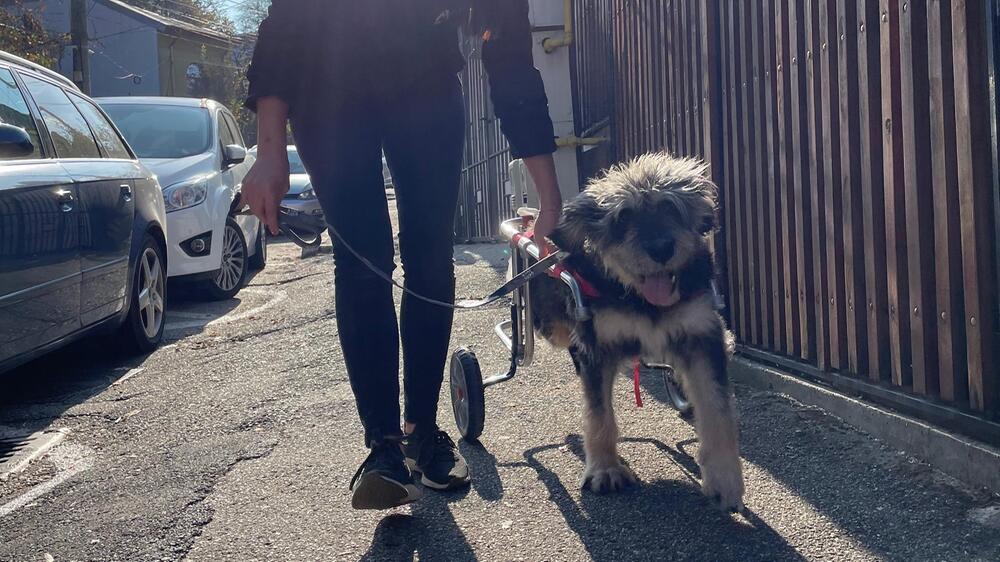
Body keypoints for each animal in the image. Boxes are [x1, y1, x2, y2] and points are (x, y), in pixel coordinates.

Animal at [532, 151, 744, 510]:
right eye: (623, 217)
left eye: (671, 207)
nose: (661, 249)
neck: (642, 299)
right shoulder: (597, 347)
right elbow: (599, 414)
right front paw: (604, 469)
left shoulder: (703, 337)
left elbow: (717, 409)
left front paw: (725, 478)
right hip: (555, 325)